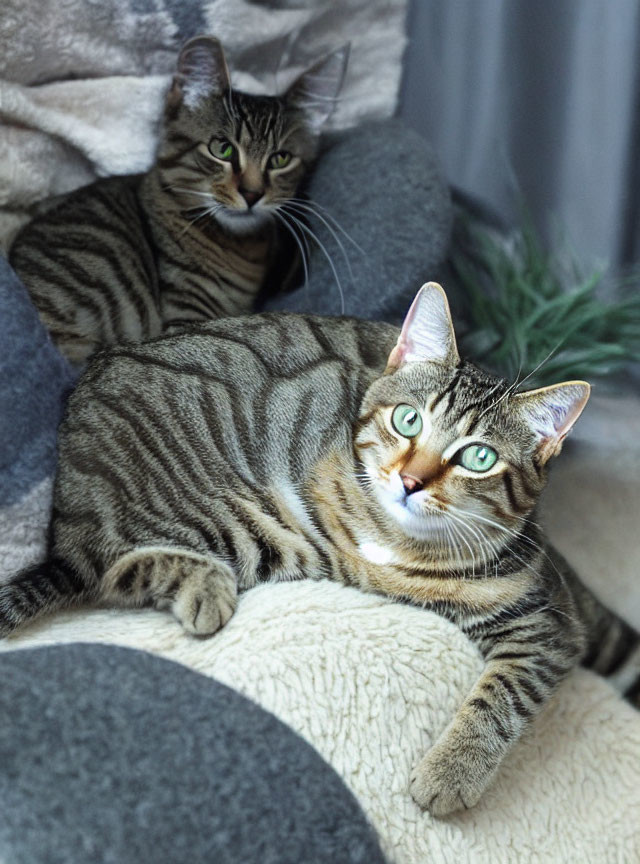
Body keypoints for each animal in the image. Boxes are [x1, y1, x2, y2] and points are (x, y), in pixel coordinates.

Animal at [2, 286, 636, 816]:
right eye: (408, 420)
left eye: (478, 457)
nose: (411, 481)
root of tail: (68, 510)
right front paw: (450, 775)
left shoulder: (548, 623)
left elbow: (503, 695)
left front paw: (450, 771)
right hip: (240, 520)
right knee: (109, 571)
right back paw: (202, 587)